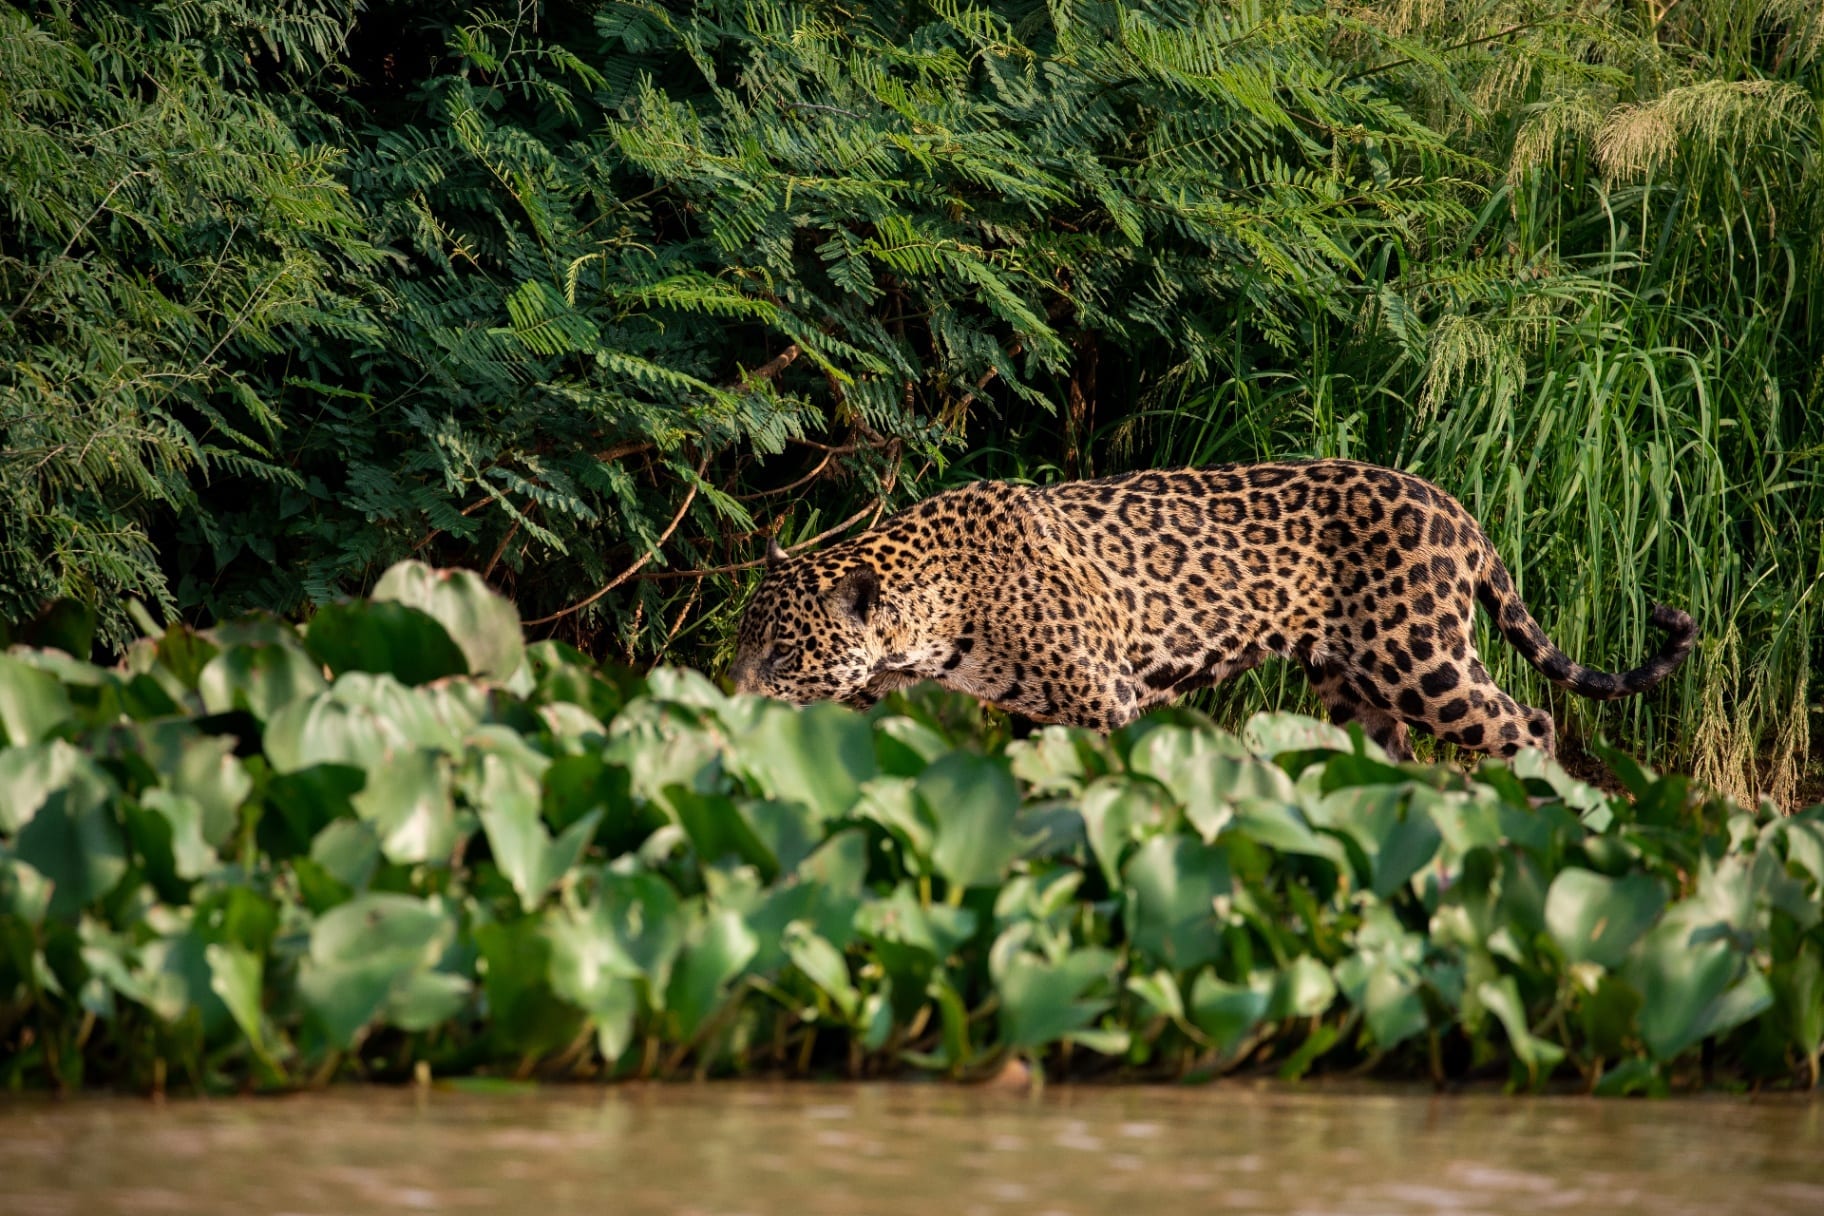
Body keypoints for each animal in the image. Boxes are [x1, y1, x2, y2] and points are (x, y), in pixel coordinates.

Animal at [728, 460, 1697, 760]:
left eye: (782, 656)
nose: (728, 699)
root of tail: (1456, 508)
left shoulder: (1106, 701)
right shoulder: (1020, 716)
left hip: (1422, 658)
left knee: (1529, 722)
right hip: (1350, 687)